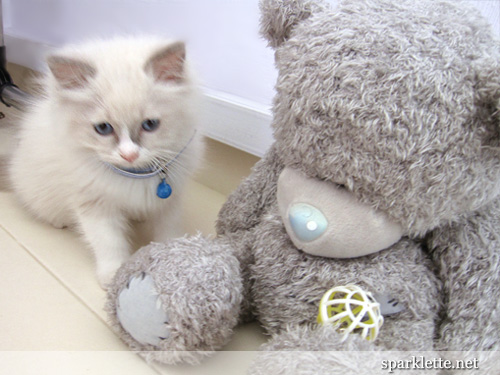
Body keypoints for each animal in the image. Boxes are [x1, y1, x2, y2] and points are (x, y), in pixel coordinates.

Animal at [8, 36, 203, 288]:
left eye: (150, 124)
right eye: (103, 128)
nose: (129, 155)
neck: (135, 174)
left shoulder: (169, 202)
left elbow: (167, 230)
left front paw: (174, 256)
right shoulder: (95, 205)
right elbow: (108, 242)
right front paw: (113, 274)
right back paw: (60, 222)